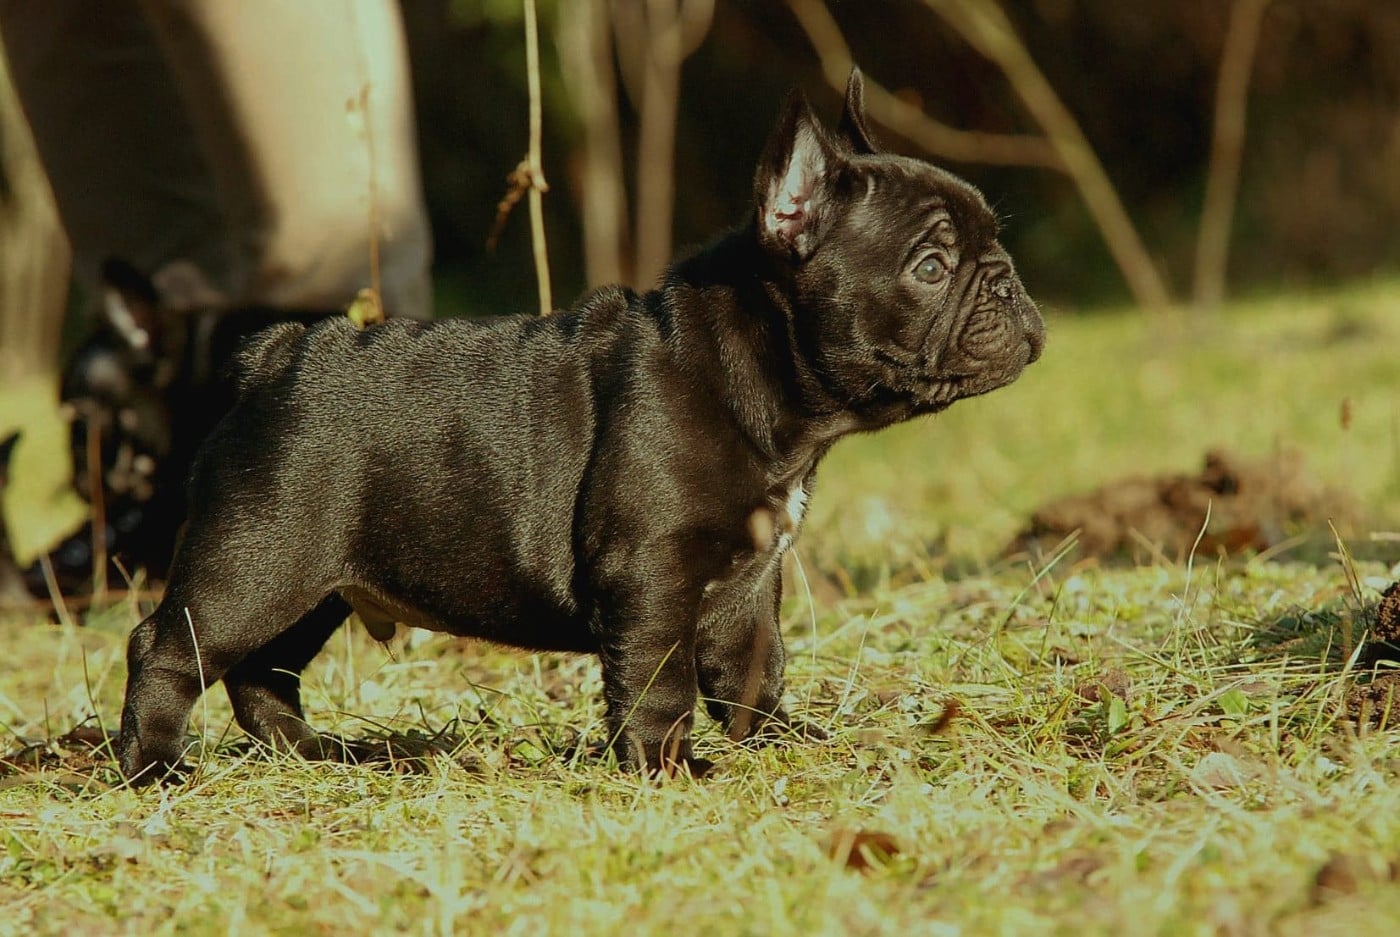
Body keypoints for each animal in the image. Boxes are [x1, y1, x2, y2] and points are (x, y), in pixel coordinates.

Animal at [118, 70, 1045, 783]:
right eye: (932, 267)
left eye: (992, 245)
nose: (1008, 281)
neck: (755, 377)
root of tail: (272, 357)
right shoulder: (653, 573)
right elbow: (661, 678)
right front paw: (669, 766)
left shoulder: (749, 580)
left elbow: (752, 668)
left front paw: (781, 741)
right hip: (258, 560)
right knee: (169, 646)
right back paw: (155, 766)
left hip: (317, 582)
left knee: (262, 671)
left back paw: (317, 753)